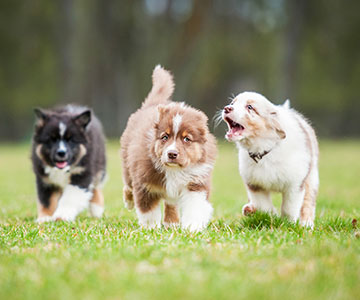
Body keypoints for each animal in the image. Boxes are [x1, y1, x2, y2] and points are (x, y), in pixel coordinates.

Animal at [121, 65, 217, 231]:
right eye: (165, 137)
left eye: (186, 139)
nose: (172, 154)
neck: (174, 170)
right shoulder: (145, 184)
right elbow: (148, 211)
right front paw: (150, 229)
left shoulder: (196, 183)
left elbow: (195, 207)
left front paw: (192, 228)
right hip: (127, 162)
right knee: (128, 185)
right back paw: (129, 202)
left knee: (170, 202)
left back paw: (171, 222)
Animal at [222, 91, 318, 227]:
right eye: (232, 103)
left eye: (250, 107)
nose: (227, 108)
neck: (263, 151)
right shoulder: (254, 185)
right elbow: (264, 206)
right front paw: (271, 215)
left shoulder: (295, 184)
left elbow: (289, 208)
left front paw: (288, 223)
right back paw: (250, 209)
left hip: (312, 177)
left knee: (308, 203)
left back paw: (306, 225)